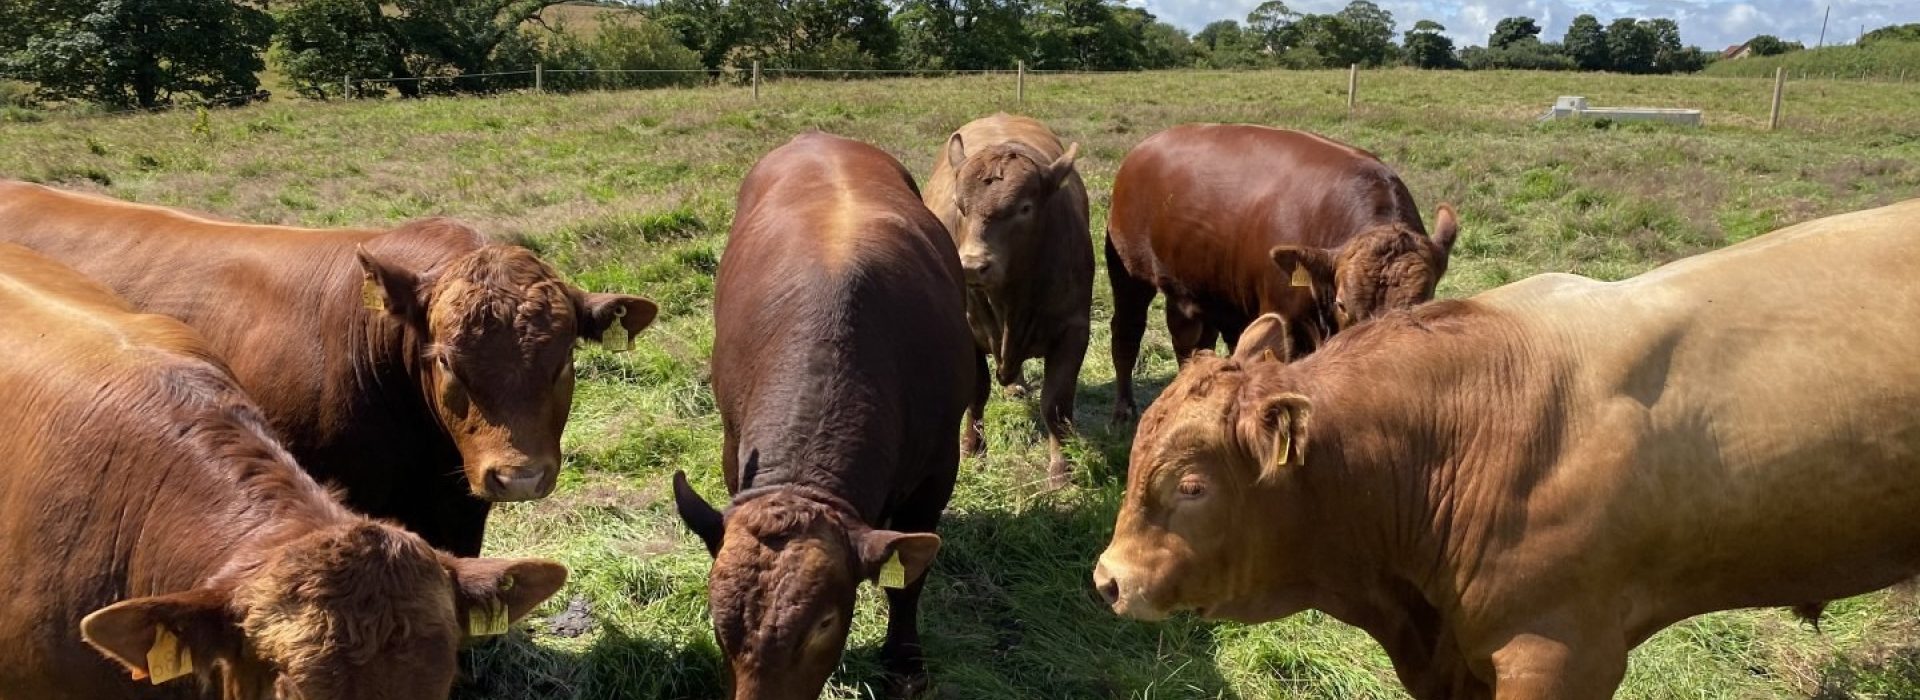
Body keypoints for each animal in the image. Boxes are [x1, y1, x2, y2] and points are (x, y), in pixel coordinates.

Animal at [671, 132, 974, 700]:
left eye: (824, 624)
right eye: (719, 624)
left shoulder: (938, 468)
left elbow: (909, 582)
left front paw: (904, 659)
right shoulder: (732, 448)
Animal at [921, 113, 1093, 487]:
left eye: (1024, 208)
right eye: (960, 206)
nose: (972, 265)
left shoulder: (1074, 329)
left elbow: (1055, 403)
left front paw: (1062, 468)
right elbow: (976, 392)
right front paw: (973, 449)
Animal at [1104, 123, 1458, 422]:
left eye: (1424, 300)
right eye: (1342, 303)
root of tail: (1144, 149)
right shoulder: (1285, 322)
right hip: (1128, 276)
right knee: (1127, 333)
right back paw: (1123, 410)